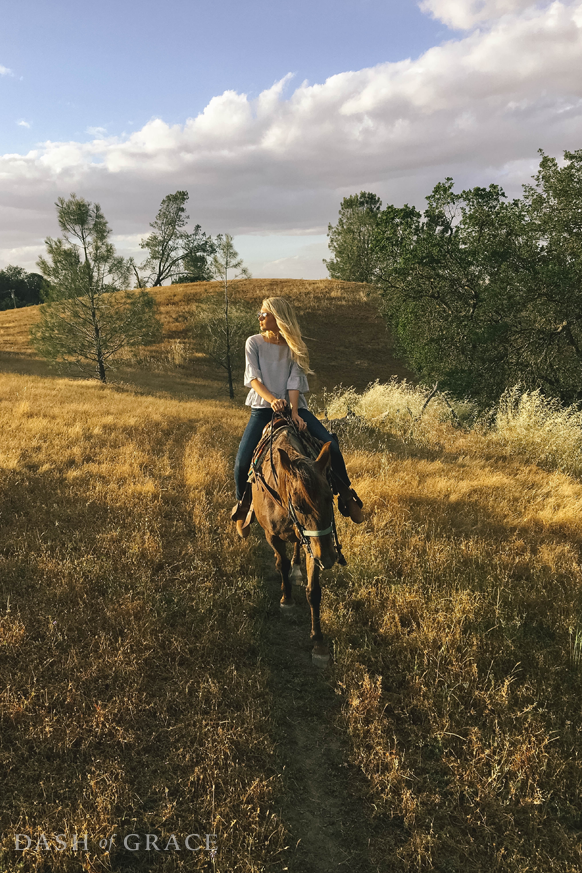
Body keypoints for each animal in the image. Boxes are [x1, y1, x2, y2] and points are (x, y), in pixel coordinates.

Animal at [252, 420, 342, 660]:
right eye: (300, 506)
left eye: (330, 498)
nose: (328, 559)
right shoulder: (272, 536)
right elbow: (282, 564)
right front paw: (287, 600)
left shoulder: (314, 543)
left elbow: (314, 591)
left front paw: (318, 642)